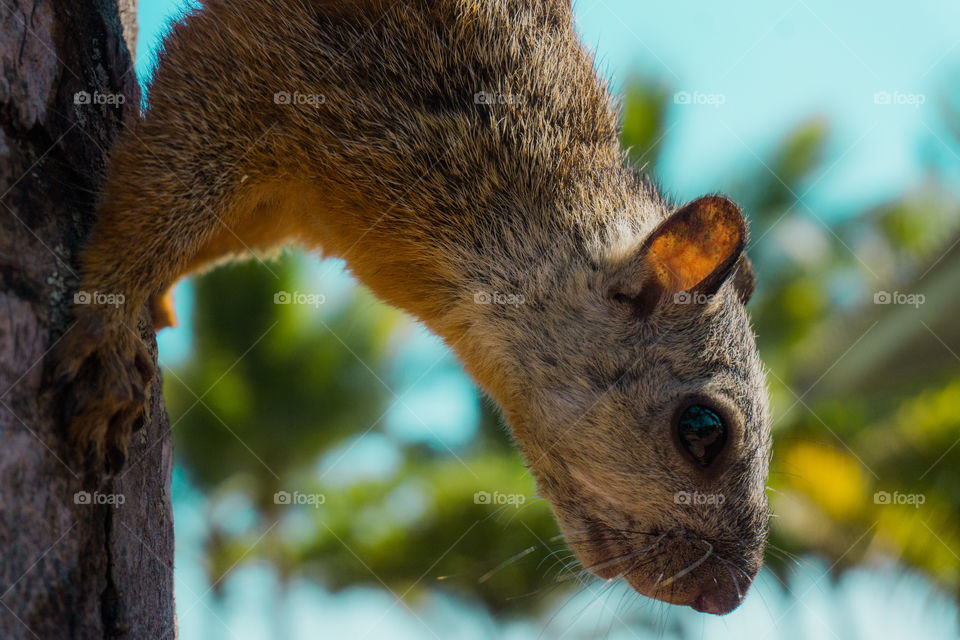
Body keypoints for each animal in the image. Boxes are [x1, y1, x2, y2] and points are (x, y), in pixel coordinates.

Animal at [50, 0, 772, 616]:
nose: (727, 597)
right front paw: (113, 324)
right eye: (702, 429)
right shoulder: (291, 70)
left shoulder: (285, 207)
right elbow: (163, 182)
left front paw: (158, 295)